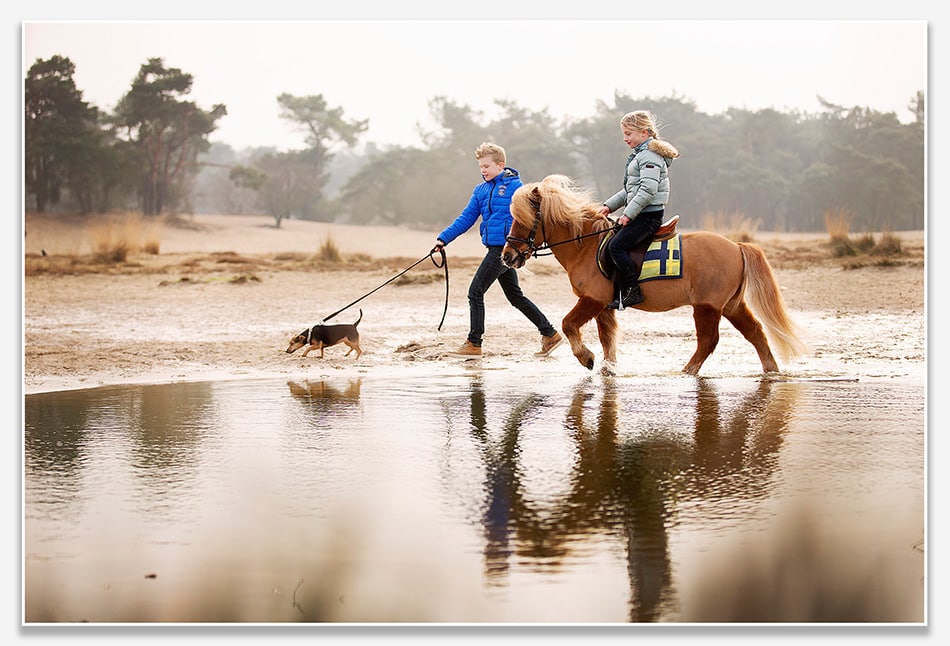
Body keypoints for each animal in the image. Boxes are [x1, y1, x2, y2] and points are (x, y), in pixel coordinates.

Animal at [501, 174, 807, 374]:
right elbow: (607, 339)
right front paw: (607, 369)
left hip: (707, 306)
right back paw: (771, 371)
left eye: (523, 220)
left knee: (708, 341)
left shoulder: (593, 299)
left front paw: (586, 358)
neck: (586, 246)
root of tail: (736, 246)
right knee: (755, 333)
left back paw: (687, 371)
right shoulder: (604, 306)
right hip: (732, 305)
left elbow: (568, 324)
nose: (506, 256)